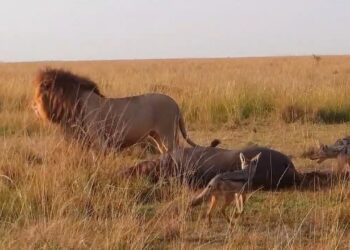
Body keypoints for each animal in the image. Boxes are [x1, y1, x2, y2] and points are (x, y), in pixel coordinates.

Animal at [32, 68, 202, 153]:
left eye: (38, 93)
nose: (33, 106)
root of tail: (176, 104)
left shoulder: (99, 140)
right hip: (157, 136)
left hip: (168, 134)